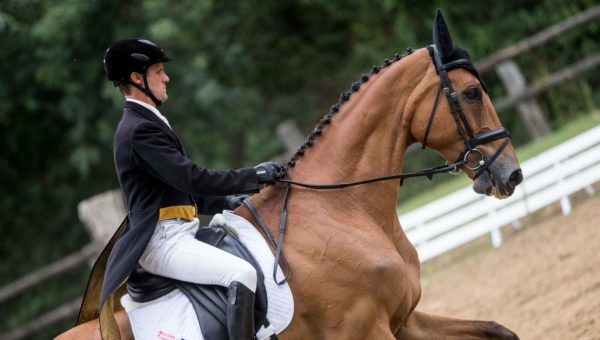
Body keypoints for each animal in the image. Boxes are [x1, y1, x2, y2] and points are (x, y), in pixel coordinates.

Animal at [57, 9, 520, 340]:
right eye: (472, 93)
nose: (512, 174)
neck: (338, 211)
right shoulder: (368, 330)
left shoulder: (403, 321)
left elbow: (501, 331)